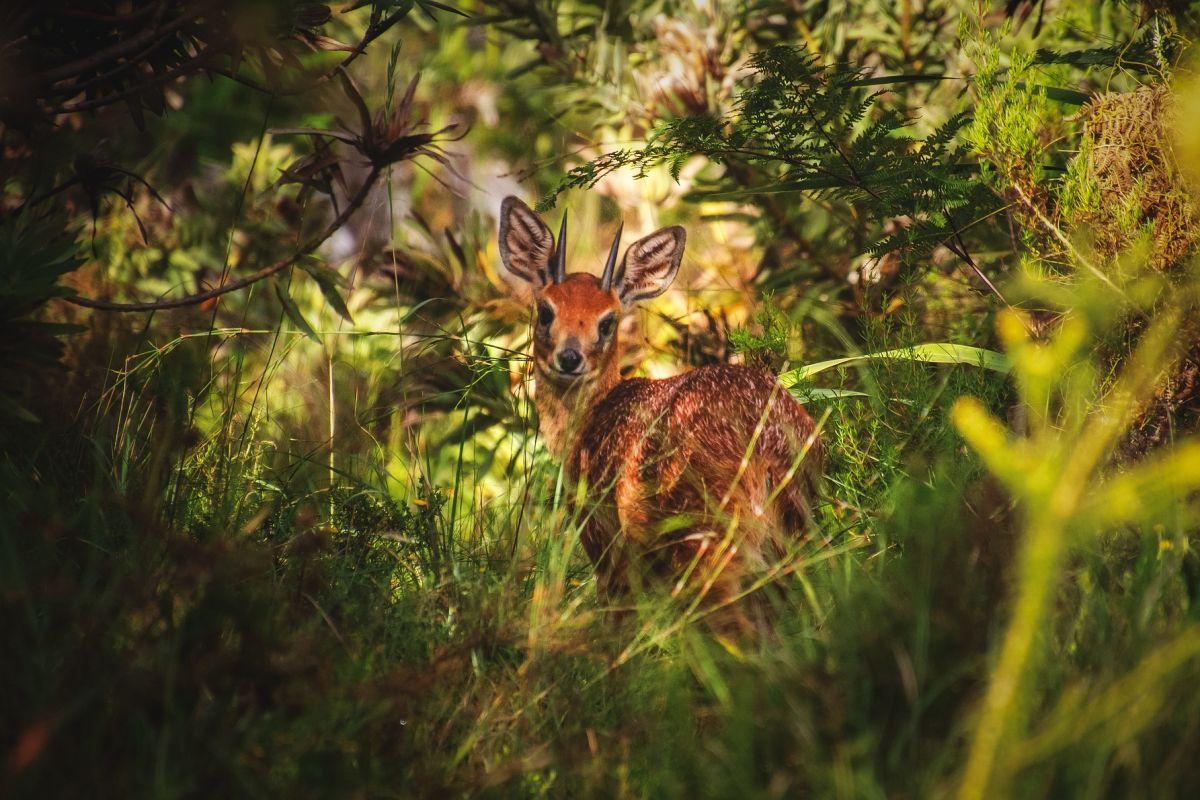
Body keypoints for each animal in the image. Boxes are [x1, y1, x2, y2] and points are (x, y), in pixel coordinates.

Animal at [496, 196, 825, 623]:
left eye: (608, 321)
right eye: (546, 311)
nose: (569, 358)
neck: (583, 428)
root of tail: (764, 443)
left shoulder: (602, 536)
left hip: (699, 525)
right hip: (794, 523)